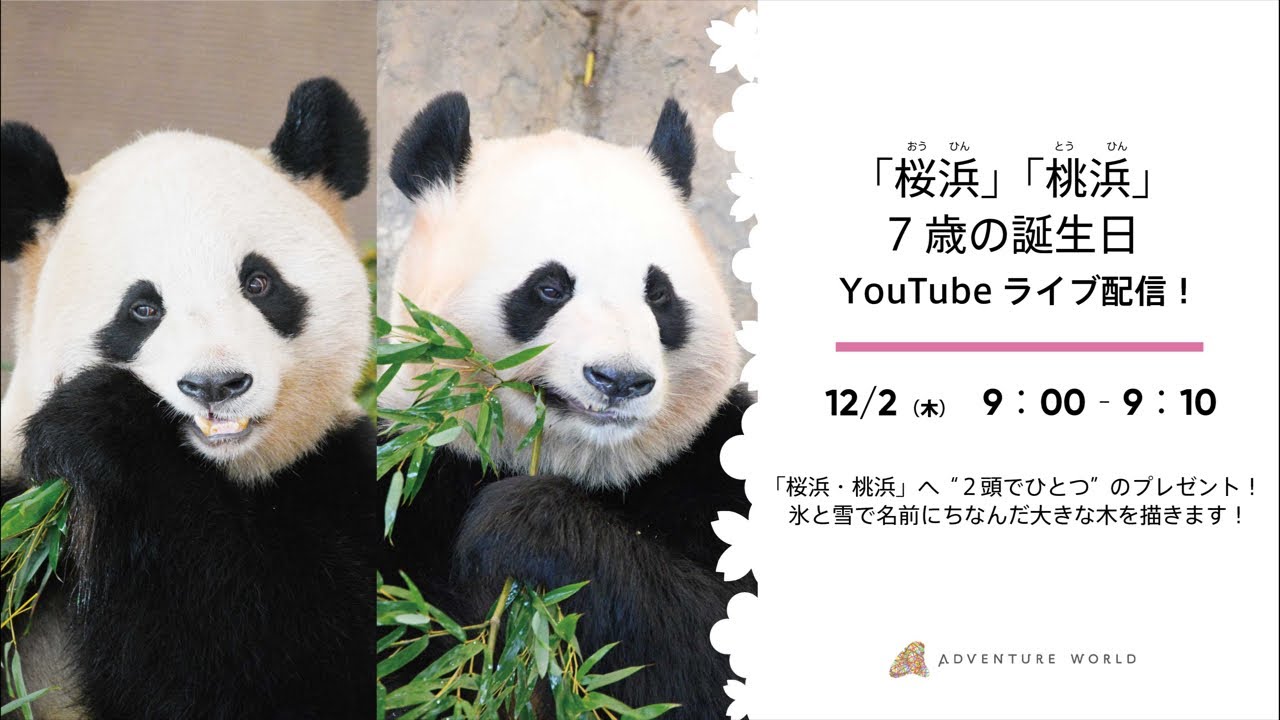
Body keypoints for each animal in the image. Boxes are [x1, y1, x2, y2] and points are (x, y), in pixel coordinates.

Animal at [1, 78, 376, 720]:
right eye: (143, 308)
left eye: (259, 282)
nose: (215, 385)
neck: (220, 472)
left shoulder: (348, 477)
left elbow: (279, 663)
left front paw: (103, 425)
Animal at [382, 92, 753, 717]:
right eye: (550, 288)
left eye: (659, 294)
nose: (619, 380)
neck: (578, 464)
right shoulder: (413, 479)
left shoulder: (712, 466)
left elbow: (720, 651)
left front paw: (522, 521)